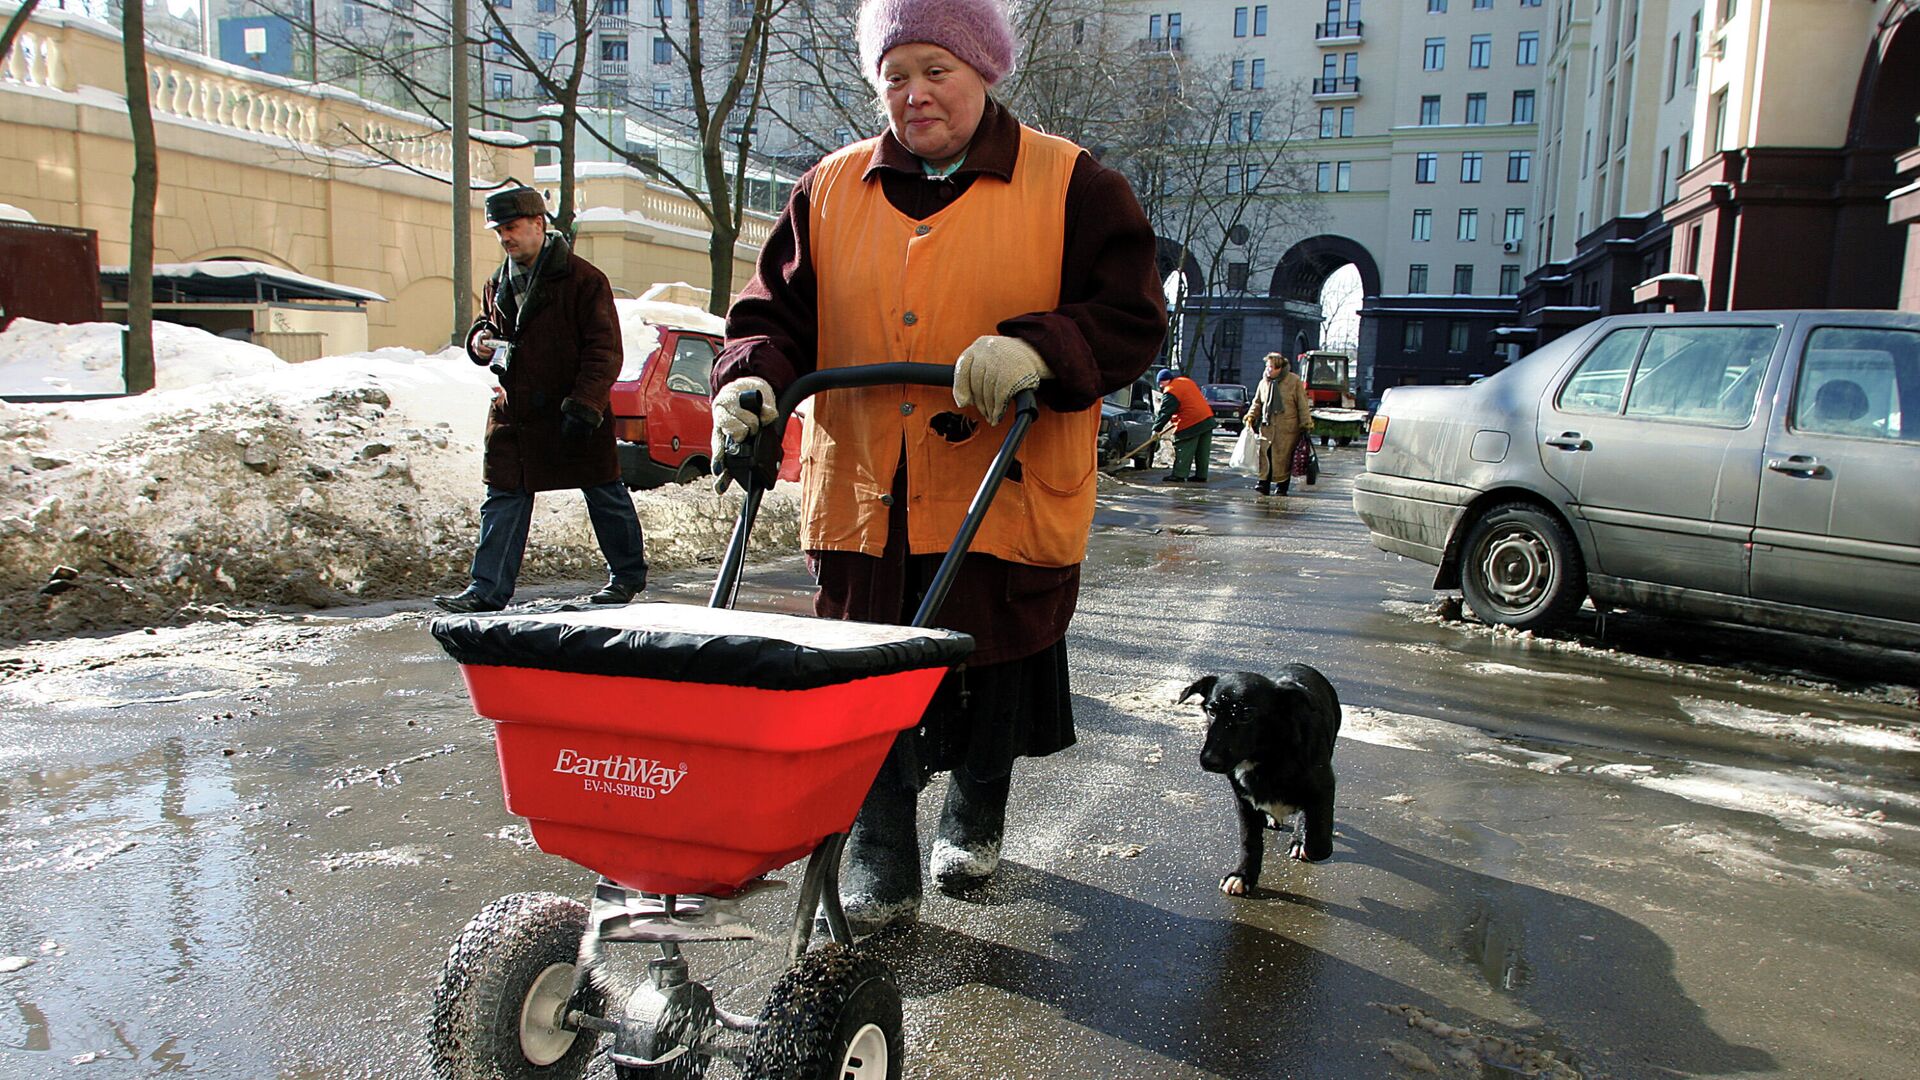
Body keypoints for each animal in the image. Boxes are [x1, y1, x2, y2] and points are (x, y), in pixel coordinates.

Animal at [1175, 664, 1344, 891]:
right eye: (1211, 711)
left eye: (1246, 715)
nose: (1209, 761)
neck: (1267, 756)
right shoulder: (1243, 800)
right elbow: (1249, 840)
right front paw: (1243, 875)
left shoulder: (1323, 787)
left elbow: (1319, 842)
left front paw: (1304, 841)